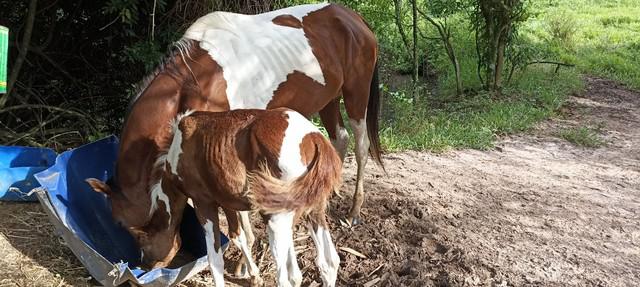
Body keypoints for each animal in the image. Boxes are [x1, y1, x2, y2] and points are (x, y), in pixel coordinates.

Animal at [154, 109, 340, 286]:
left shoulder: (203, 204)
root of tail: (314, 139)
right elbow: (238, 235)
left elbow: (215, 261)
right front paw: (253, 275)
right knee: (328, 263)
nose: (148, 266)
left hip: (277, 221)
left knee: (285, 279)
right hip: (313, 211)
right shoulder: (226, 202)